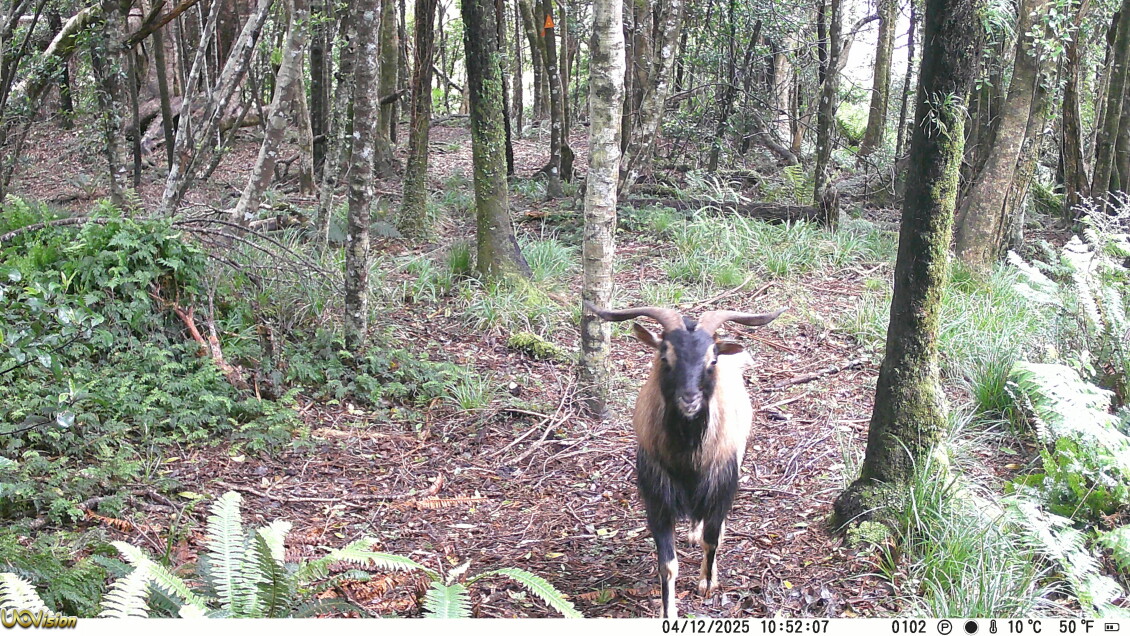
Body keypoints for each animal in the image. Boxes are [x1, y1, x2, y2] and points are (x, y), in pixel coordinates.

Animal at [587, 303, 785, 618]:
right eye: (665, 356)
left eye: (712, 359)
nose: (690, 399)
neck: (688, 458)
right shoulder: (657, 497)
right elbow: (667, 565)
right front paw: (668, 612)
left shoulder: (720, 483)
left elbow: (711, 538)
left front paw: (707, 582)